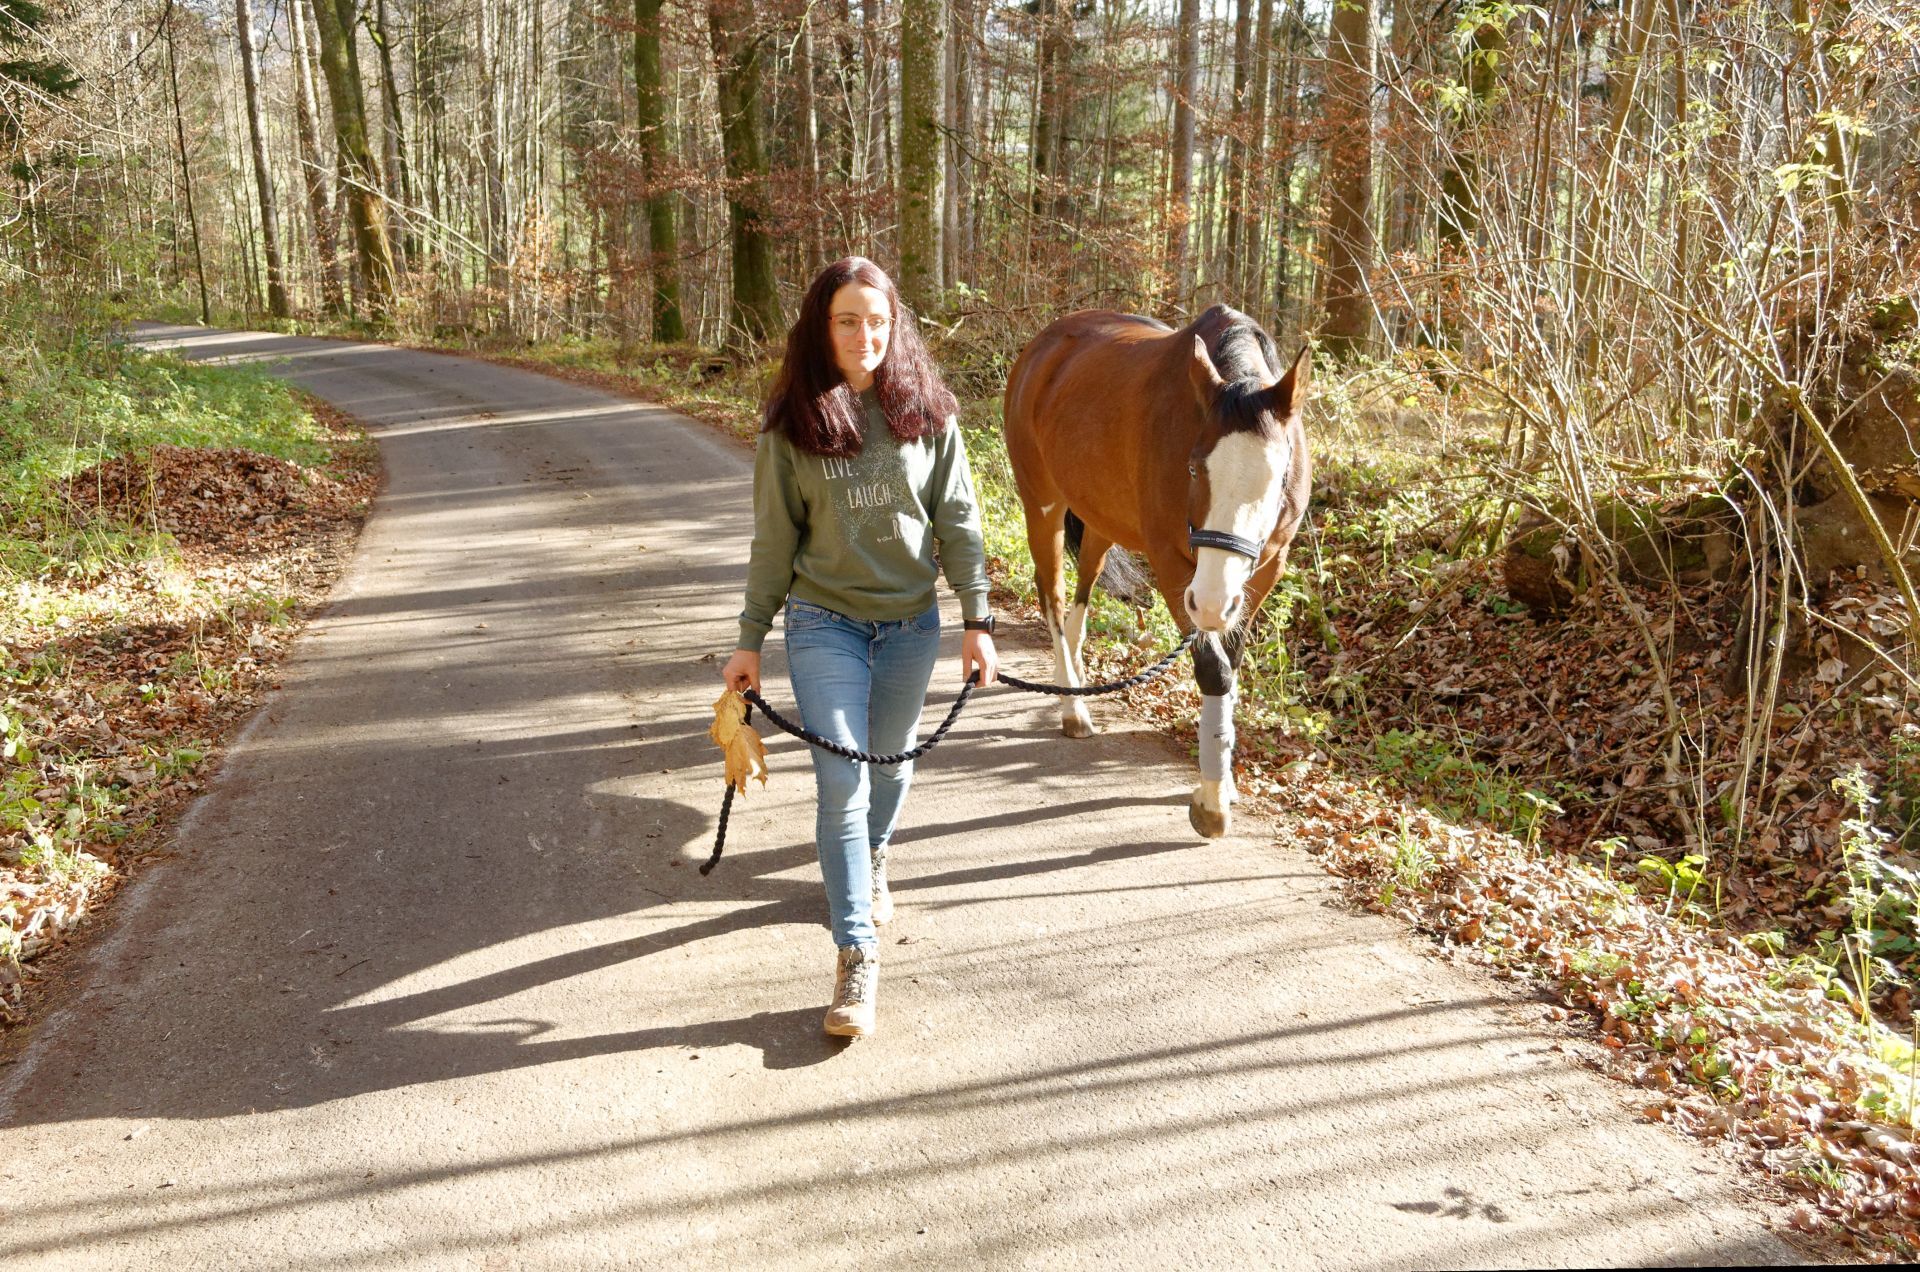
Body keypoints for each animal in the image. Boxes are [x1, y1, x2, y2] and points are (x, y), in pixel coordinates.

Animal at [1001, 304, 1312, 838]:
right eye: (1193, 468)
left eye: (1276, 477)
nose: (1212, 603)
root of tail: (1041, 348)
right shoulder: (1173, 566)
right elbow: (1213, 671)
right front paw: (1212, 801)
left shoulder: (1265, 569)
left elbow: (1233, 664)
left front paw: (1226, 779)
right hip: (1042, 504)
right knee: (1053, 595)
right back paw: (1073, 708)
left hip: (1099, 518)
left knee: (1081, 594)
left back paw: (1074, 680)